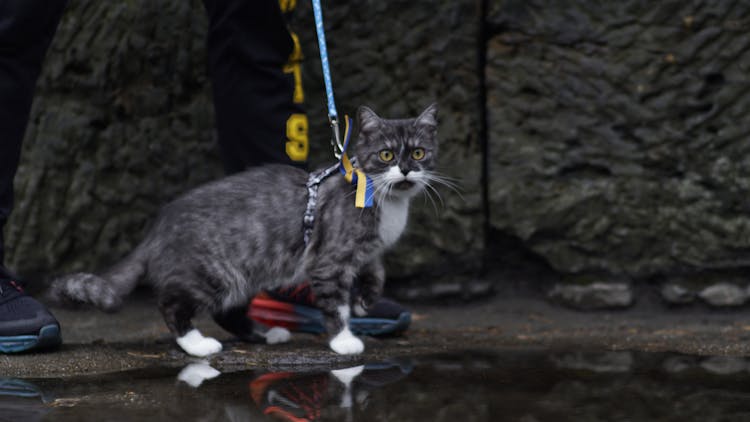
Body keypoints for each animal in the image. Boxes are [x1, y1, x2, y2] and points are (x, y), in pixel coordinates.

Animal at [48, 102, 440, 356]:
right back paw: (197, 345)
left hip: (248, 273)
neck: (383, 197)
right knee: (173, 303)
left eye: (419, 153)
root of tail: (158, 228)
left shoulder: (368, 252)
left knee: (228, 312)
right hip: (216, 272)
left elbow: (378, 271)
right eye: (387, 155)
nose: (406, 170)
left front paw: (365, 299)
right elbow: (334, 303)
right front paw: (344, 340)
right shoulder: (329, 260)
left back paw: (265, 336)